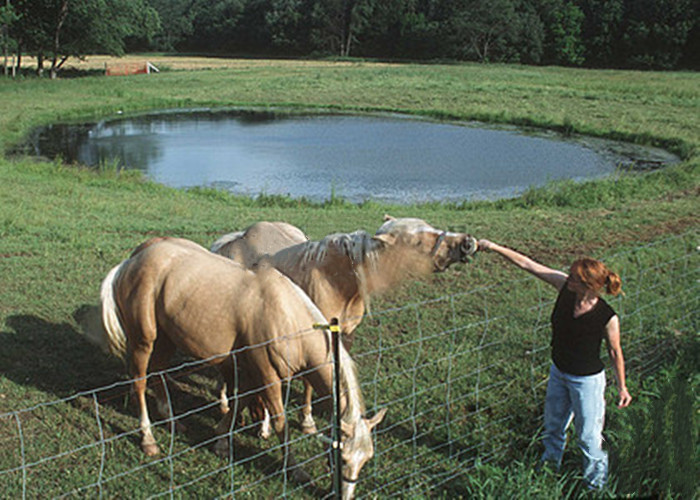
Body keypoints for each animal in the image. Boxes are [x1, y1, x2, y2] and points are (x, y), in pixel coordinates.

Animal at [87, 237, 386, 496]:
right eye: (340, 456)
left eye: (366, 459)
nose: (345, 495)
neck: (286, 317)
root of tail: (131, 261)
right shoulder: (268, 376)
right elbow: (280, 422)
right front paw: (294, 470)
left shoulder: (253, 371)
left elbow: (239, 401)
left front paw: (221, 440)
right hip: (144, 339)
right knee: (139, 382)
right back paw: (148, 439)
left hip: (167, 338)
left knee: (158, 372)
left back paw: (172, 421)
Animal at [212, 215, 476, 434]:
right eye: (419, 240)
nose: (468, 242)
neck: (337, 281)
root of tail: (229, 243)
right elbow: (308, 383)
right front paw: (307, 421)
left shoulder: (346, 335)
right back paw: (227, 406)